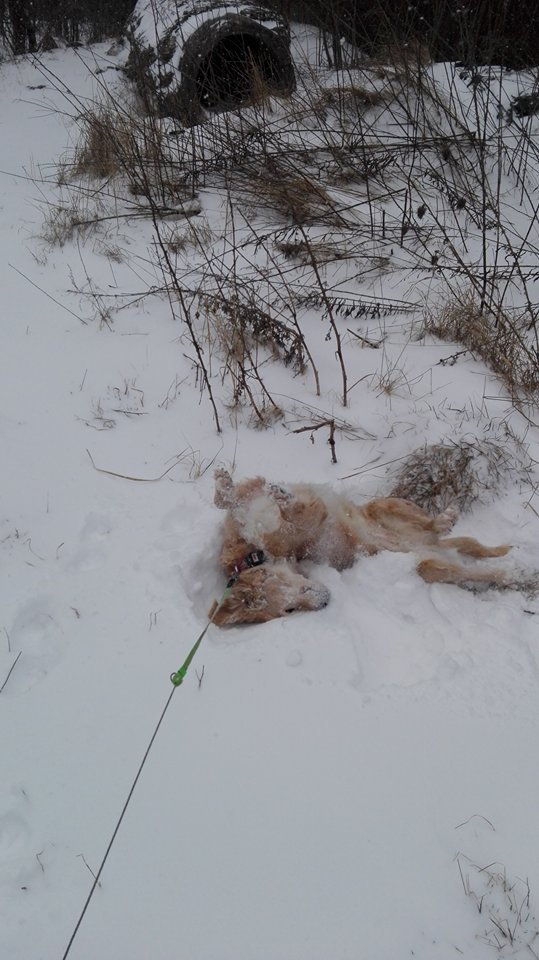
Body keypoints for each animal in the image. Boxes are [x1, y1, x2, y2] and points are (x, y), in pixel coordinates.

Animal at [210, 468, 527, 626]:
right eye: (288, 611)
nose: (325, 600)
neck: (252, 551)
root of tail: (430, 546)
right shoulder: (302, 526)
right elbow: (294, 513)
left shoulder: (264, 507)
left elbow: (228, 498)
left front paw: (227, 482)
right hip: (430, 567)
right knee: (479, 568)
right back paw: (516, 573)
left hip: (389, 505)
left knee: (441, 530)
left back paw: (448, 521)